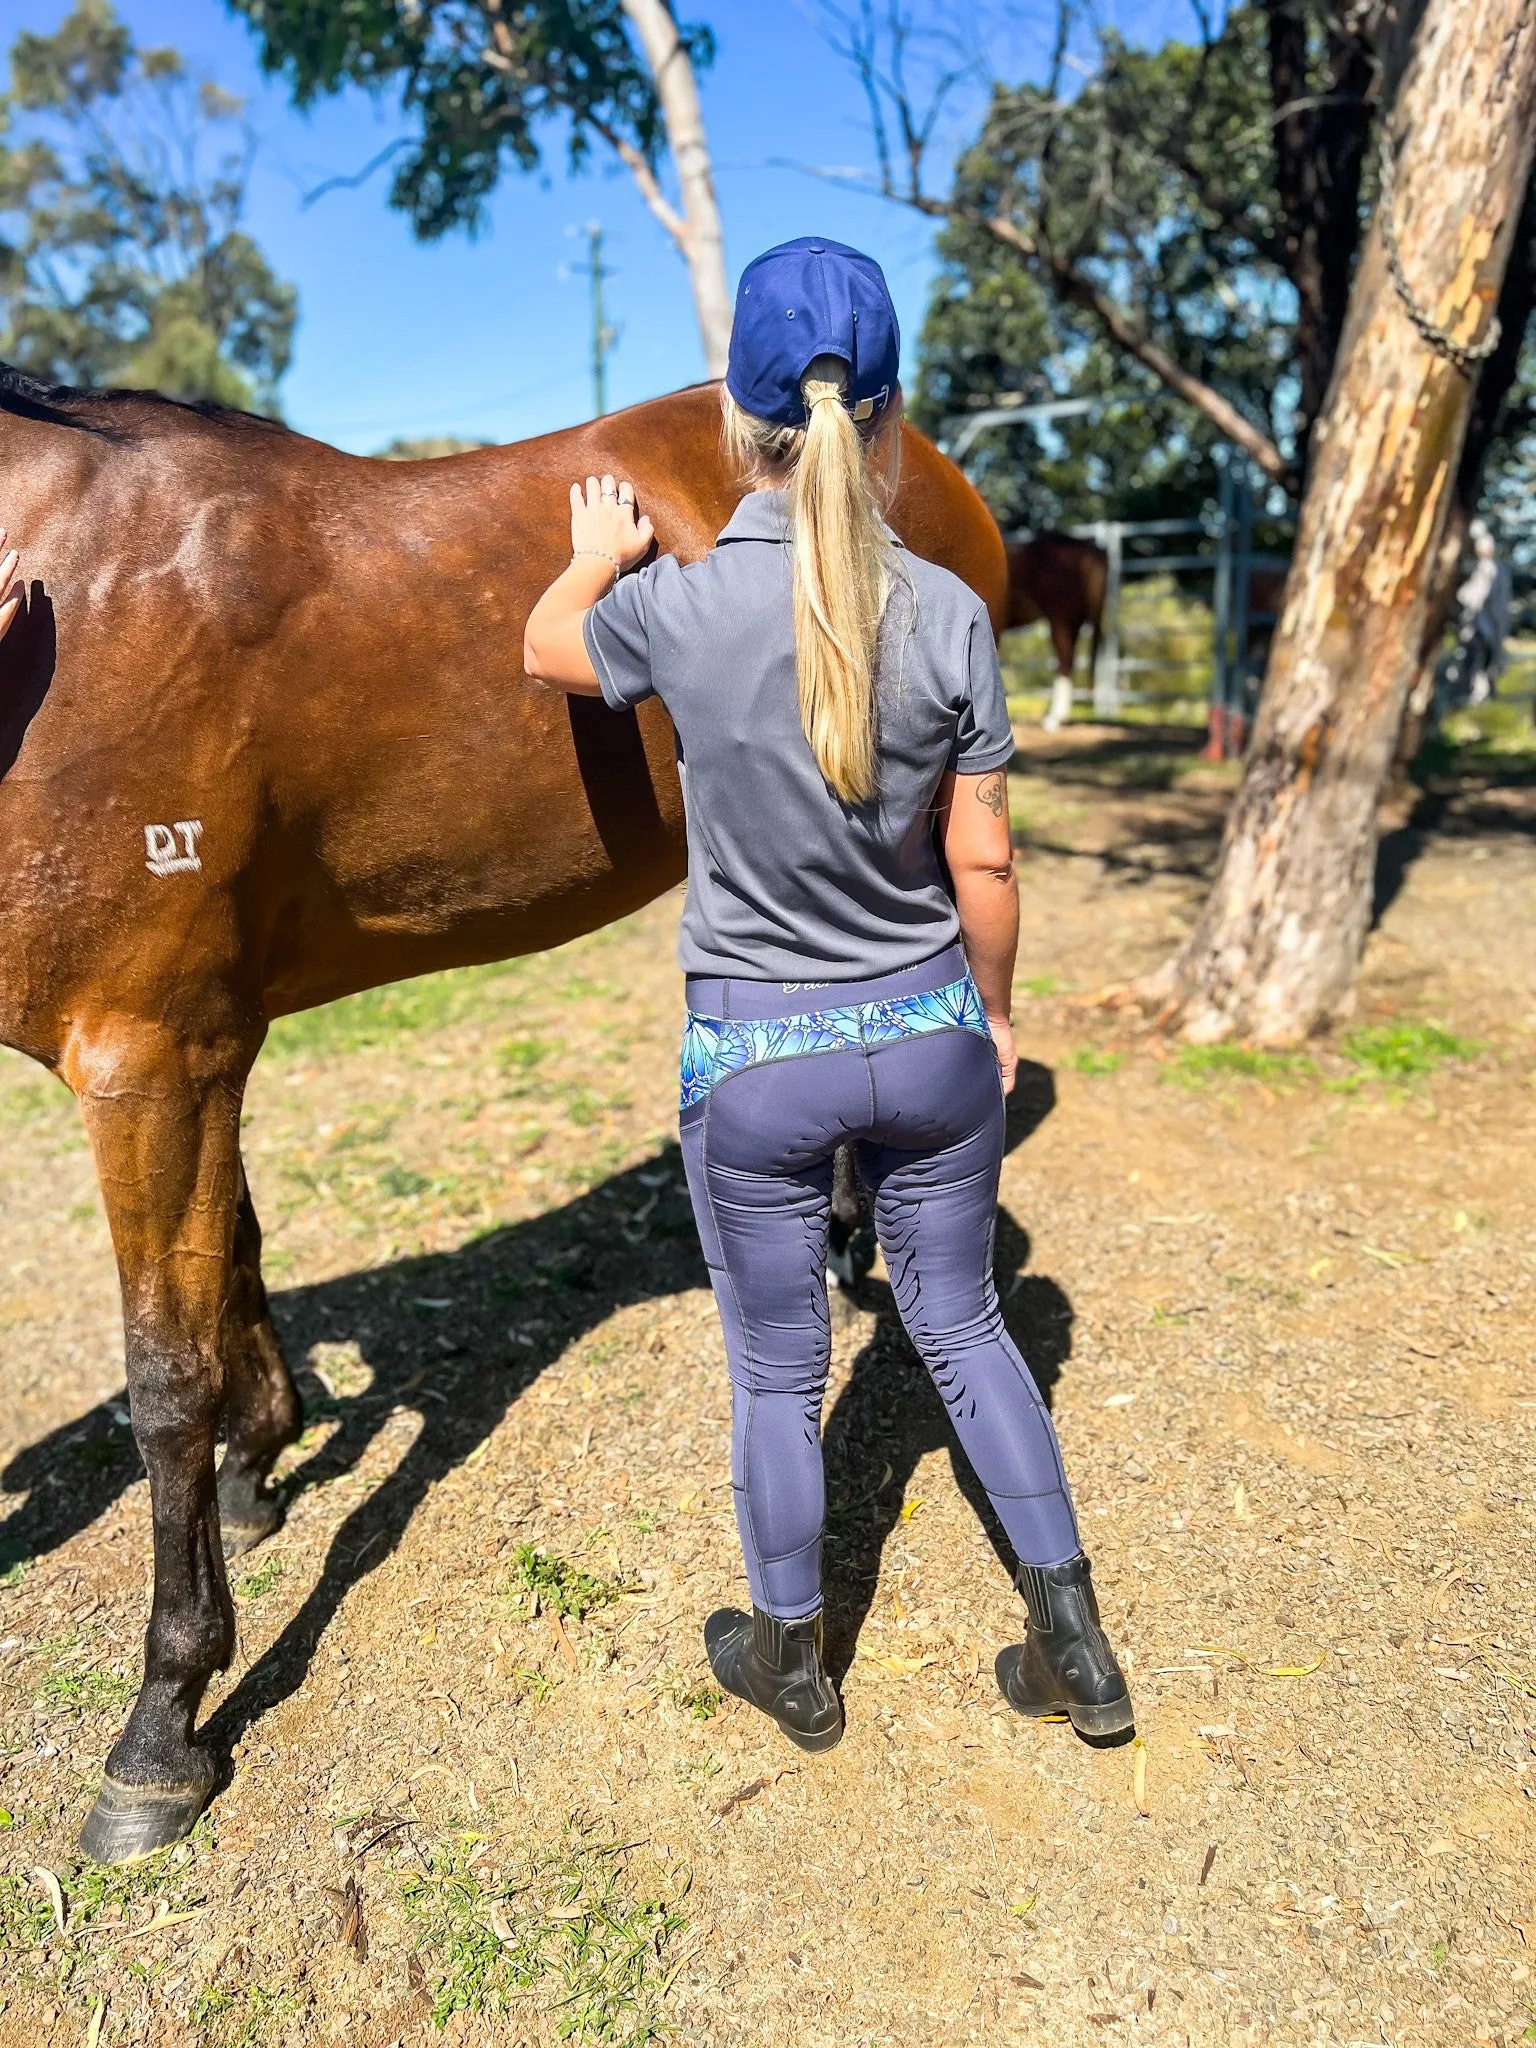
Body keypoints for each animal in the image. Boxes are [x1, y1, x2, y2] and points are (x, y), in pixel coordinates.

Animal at [0, 364, 1011, 1859]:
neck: (62, 601)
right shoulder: (205, 1045)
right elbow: (234, 1254)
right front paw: (262, 1462)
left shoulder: (145, 1053)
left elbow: (163, 1381)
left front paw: (161, 1727)